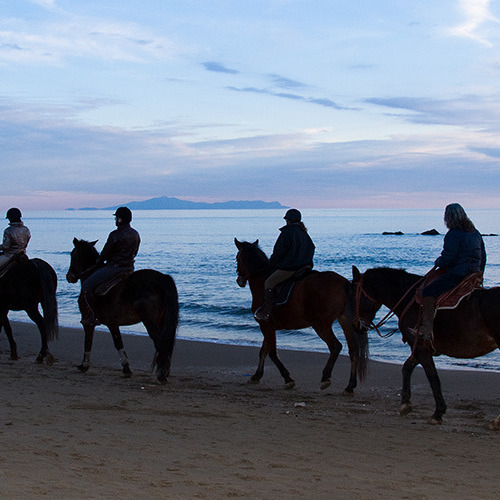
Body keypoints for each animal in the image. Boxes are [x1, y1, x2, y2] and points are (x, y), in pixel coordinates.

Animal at [66, 238, 179, 382]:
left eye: (73, 254)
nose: (69, 276)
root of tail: (163, 278)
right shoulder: (113, 323)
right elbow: (119, 342)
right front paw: (126, 369)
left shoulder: (91, 323)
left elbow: (90, 342)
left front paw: (84, 365)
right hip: (161, 320)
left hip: (150, 321)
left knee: (160, 343)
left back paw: (161, 375)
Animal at [234, 240, 364, 392]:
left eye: (237, 258)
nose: (239, 280)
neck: (261, 280)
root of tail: (344, 282)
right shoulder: (268, 326)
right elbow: (263, 351)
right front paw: (256, 376)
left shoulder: (265, 325)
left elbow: (272, 353)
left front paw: (288, 379)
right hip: (345, 322)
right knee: (353, 351)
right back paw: (350, 386)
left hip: (320, 324)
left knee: (335, 346)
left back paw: (325, 377)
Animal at [348, 266, 500, 426]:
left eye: (353, 294)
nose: (355, 325)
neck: (408, 300)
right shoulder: (420, 348)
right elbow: (407, 368)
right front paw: (405, 404)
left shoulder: (421, 347)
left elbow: (432, 377)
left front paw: (438, 413)